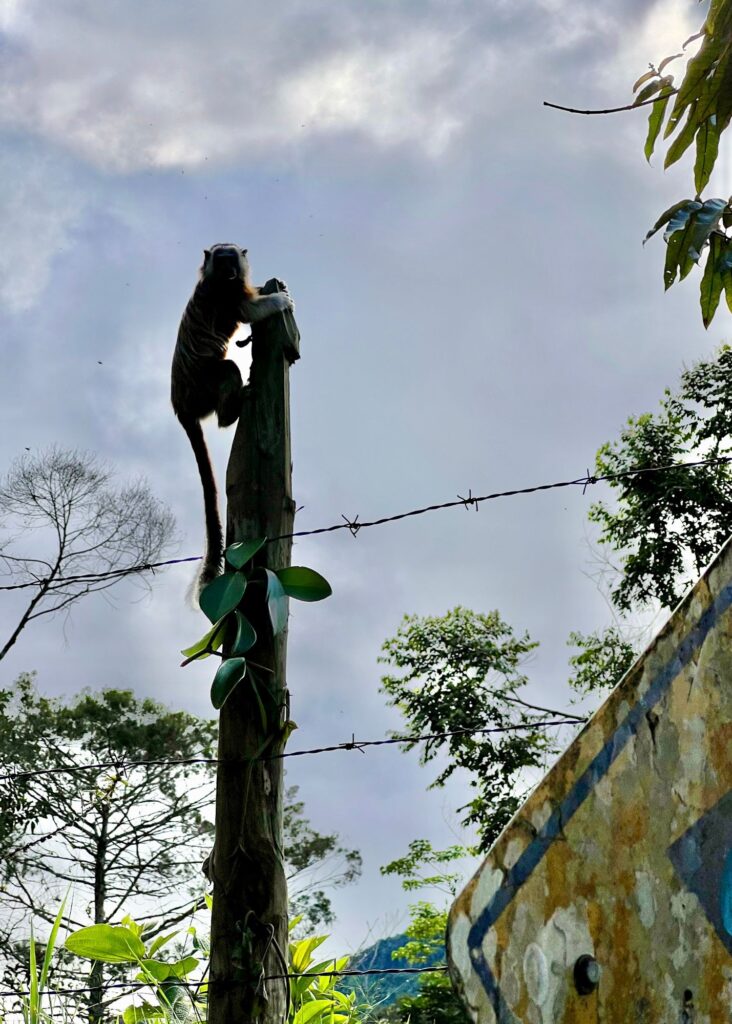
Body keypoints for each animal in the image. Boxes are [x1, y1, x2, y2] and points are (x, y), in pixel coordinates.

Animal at [171, 243, 293, 595]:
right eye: (220, 258)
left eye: (231, 258)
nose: (227, 268)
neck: (221, 281)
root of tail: (180, 405)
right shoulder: (226, 294)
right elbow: (249, 312)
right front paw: (281, 298)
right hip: (202, 388)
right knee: (225, 370)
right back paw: (231, 413)